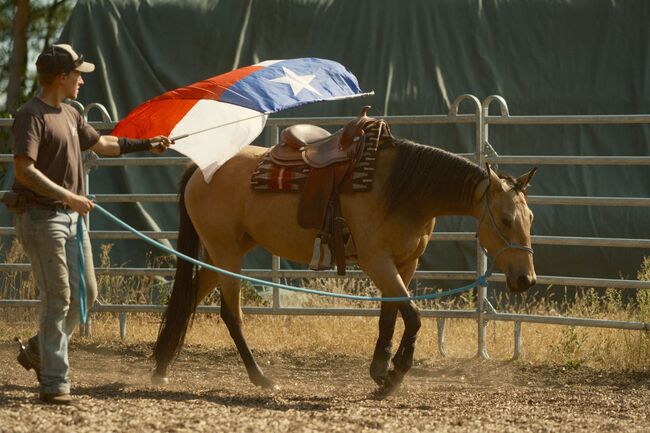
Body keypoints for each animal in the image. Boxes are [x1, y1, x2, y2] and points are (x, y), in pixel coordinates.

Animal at [151, 125, 537, 394]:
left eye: (530, 218)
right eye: (506, 220)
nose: (527, 280)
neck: (404, 190)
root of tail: (200, 168)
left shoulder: (404, 263)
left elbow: (390, 315)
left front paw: (380, 370)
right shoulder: (377, 260)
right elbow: (412, 316)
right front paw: (394, 376)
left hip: (223, 254)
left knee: (189, 300)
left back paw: (162, 368)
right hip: (227, 253)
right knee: (231, 315)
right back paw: (261, 378)